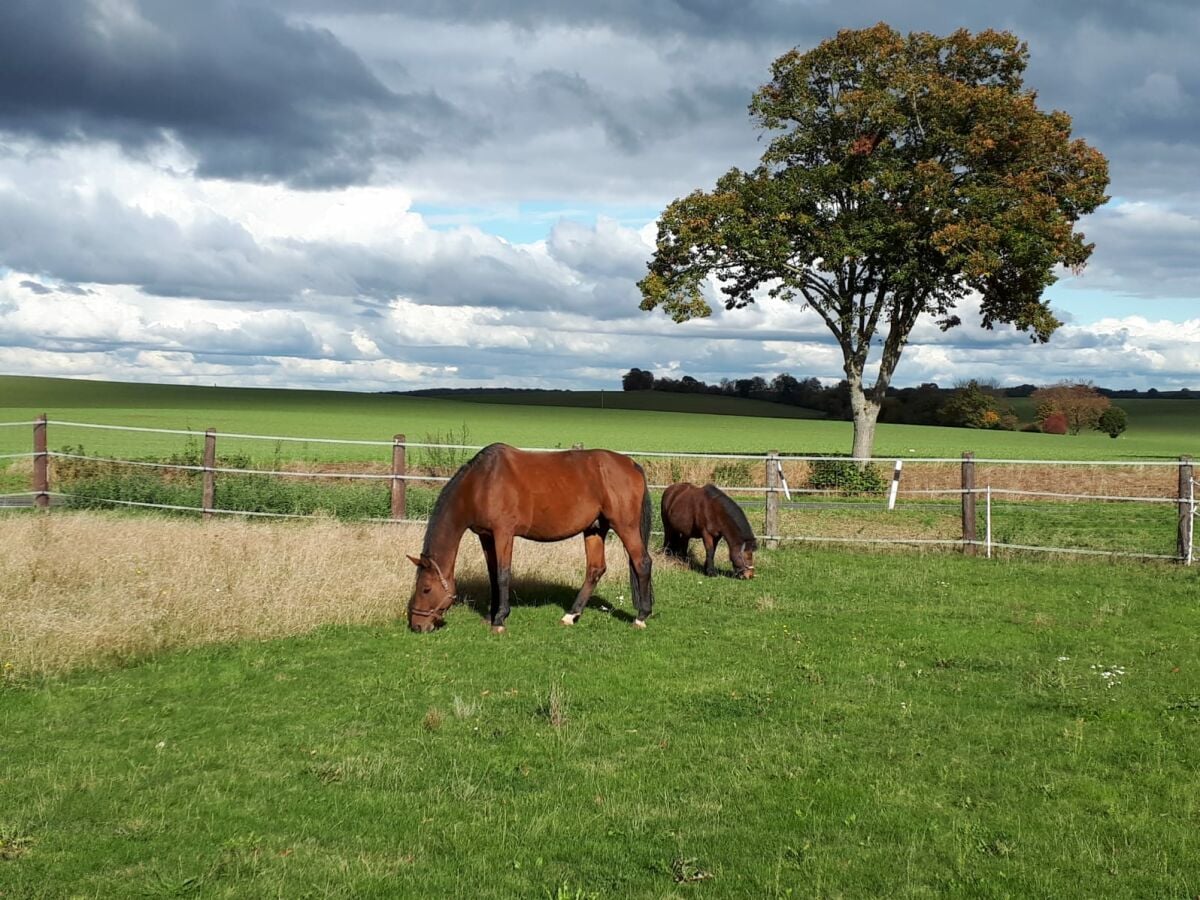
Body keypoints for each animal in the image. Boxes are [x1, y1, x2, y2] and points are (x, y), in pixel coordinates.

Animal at [405, 444, 652, 633]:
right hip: (595, 529)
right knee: (595, 569)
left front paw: (499, 620)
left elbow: (503, 574)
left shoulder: (503, 533)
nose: (417, 625)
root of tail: (631, 464)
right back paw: (571, 615)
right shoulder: (486, 536)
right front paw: (491, 615)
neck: (482, 483)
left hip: (625, 526)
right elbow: (492, 575)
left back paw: (641, 617)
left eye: (426, 589)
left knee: (642, 563)